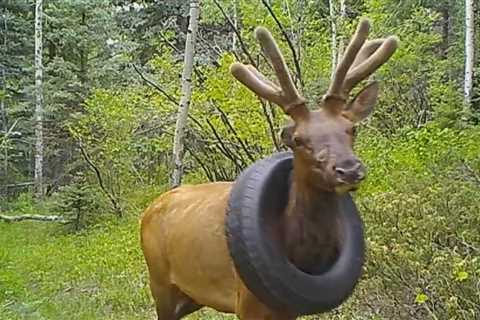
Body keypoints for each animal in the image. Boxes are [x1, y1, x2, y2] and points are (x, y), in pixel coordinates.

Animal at [141, 18, 400, 320]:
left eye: (351, 128)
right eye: (298, 139)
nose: (348, 169)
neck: (300, 252)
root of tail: (150, 208)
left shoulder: (290, 308)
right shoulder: (246, 300)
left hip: (191, 295)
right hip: (159, 281)